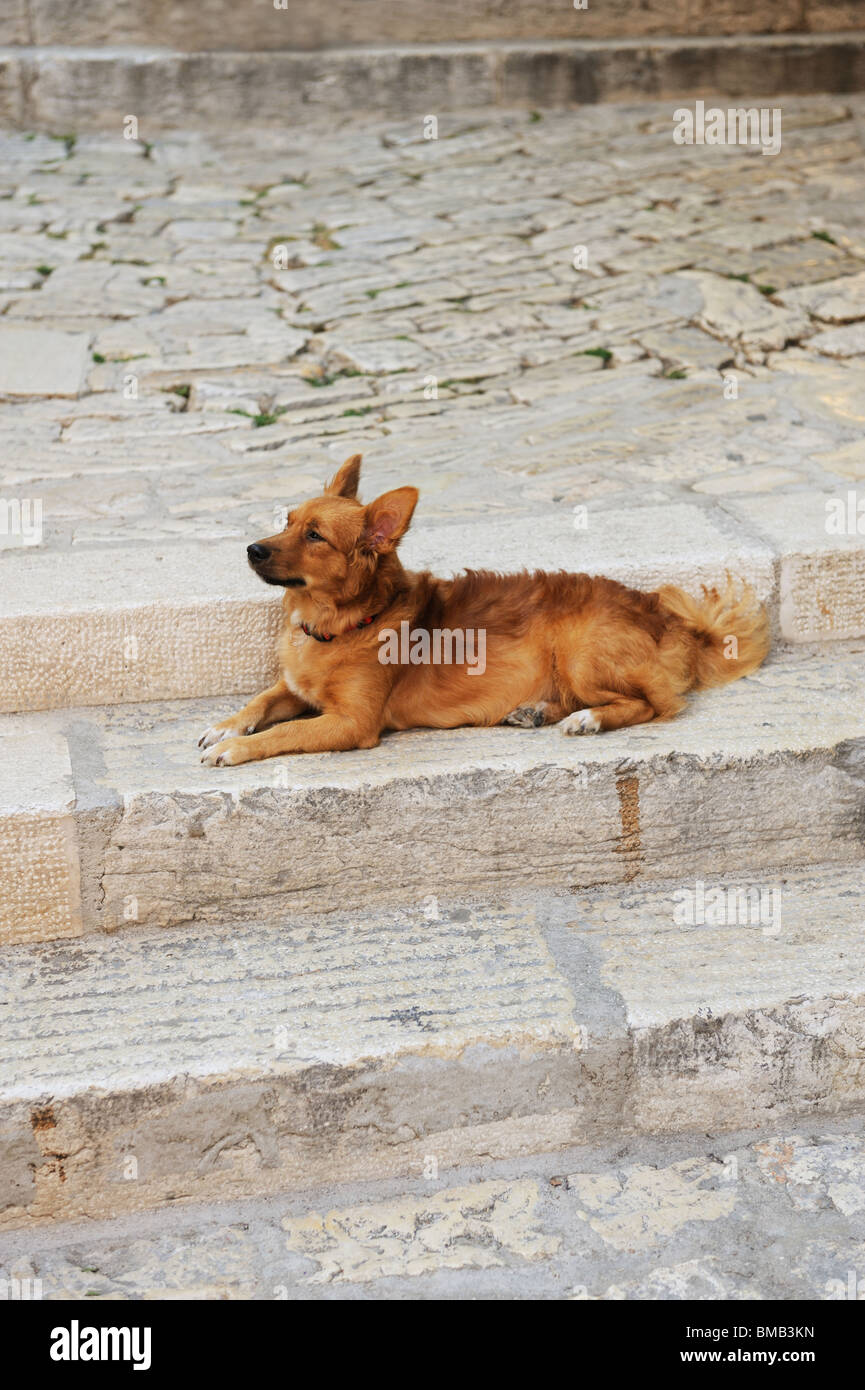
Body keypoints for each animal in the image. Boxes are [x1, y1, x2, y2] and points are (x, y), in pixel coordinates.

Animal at [198, 453, 773, 767]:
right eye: (287, 521)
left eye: (314, 536)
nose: (252, 549)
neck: (344, 623)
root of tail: (673, 620)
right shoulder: (294, 688)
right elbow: (261, 701)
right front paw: (227, 727)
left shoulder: (350, 722)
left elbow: (284, 733)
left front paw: (235, 750)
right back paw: (536, 710)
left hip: (581, 652)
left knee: (654, 705)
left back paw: (587, 719)